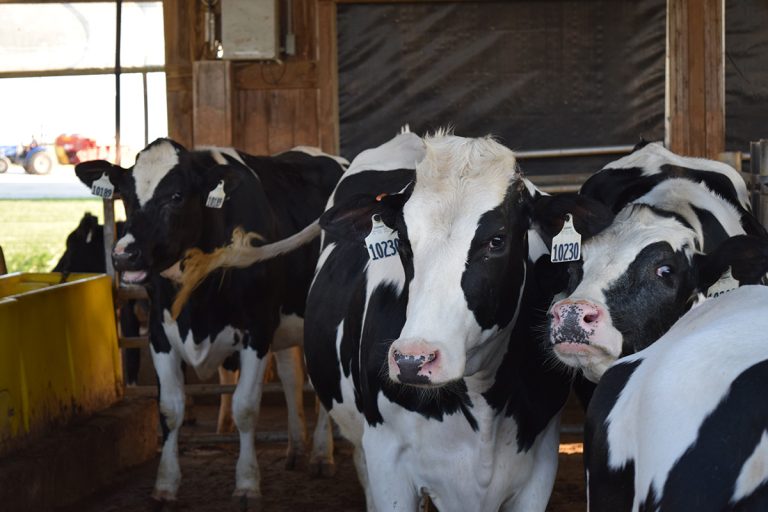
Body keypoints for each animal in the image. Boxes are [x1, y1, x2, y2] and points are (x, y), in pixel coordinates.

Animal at [74, 138, 347, 503]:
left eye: (176, 196)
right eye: (127, 195)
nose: (123, 255)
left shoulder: (257, 331)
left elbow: (245, 408)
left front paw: (247, 485)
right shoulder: (160, 335)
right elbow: (170, 410)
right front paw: (165, 486)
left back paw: (321, 455)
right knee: (292, 376)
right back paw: (296, 449)